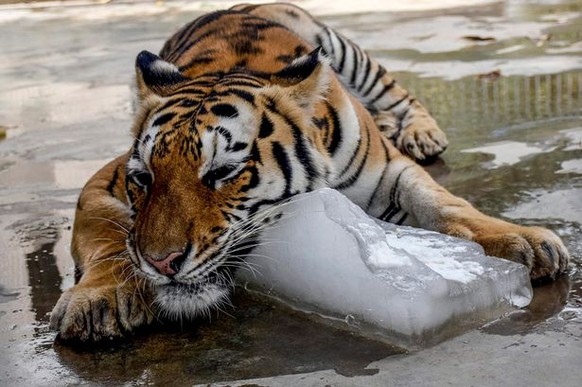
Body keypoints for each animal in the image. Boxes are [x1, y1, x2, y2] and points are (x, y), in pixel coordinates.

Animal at [49, 3, 572, 342]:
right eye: (144, 179)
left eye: (222, 172)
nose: (161, 263)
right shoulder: (101, 182)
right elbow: (109, 238)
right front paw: (97, 299)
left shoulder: (390, 173)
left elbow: (443, 201)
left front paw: (522, 241)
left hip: (350, 52)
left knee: (401, 93)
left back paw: (421, 131)